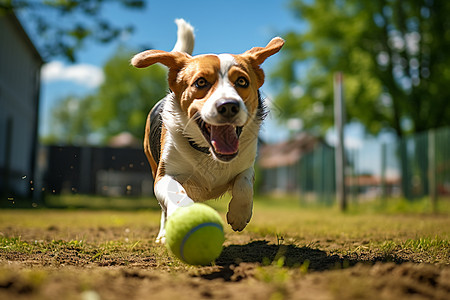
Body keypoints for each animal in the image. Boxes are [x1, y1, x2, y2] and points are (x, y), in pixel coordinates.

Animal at [132, 19, 284, 243]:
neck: (208, 153)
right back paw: (163, 234)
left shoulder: (247, 165)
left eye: (242, 81)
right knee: (164, 211)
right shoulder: (163, 176)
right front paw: (186, 214)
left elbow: (244, 184)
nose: (228, 106)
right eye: (201, 82)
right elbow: (175, 192)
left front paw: (239, 215)